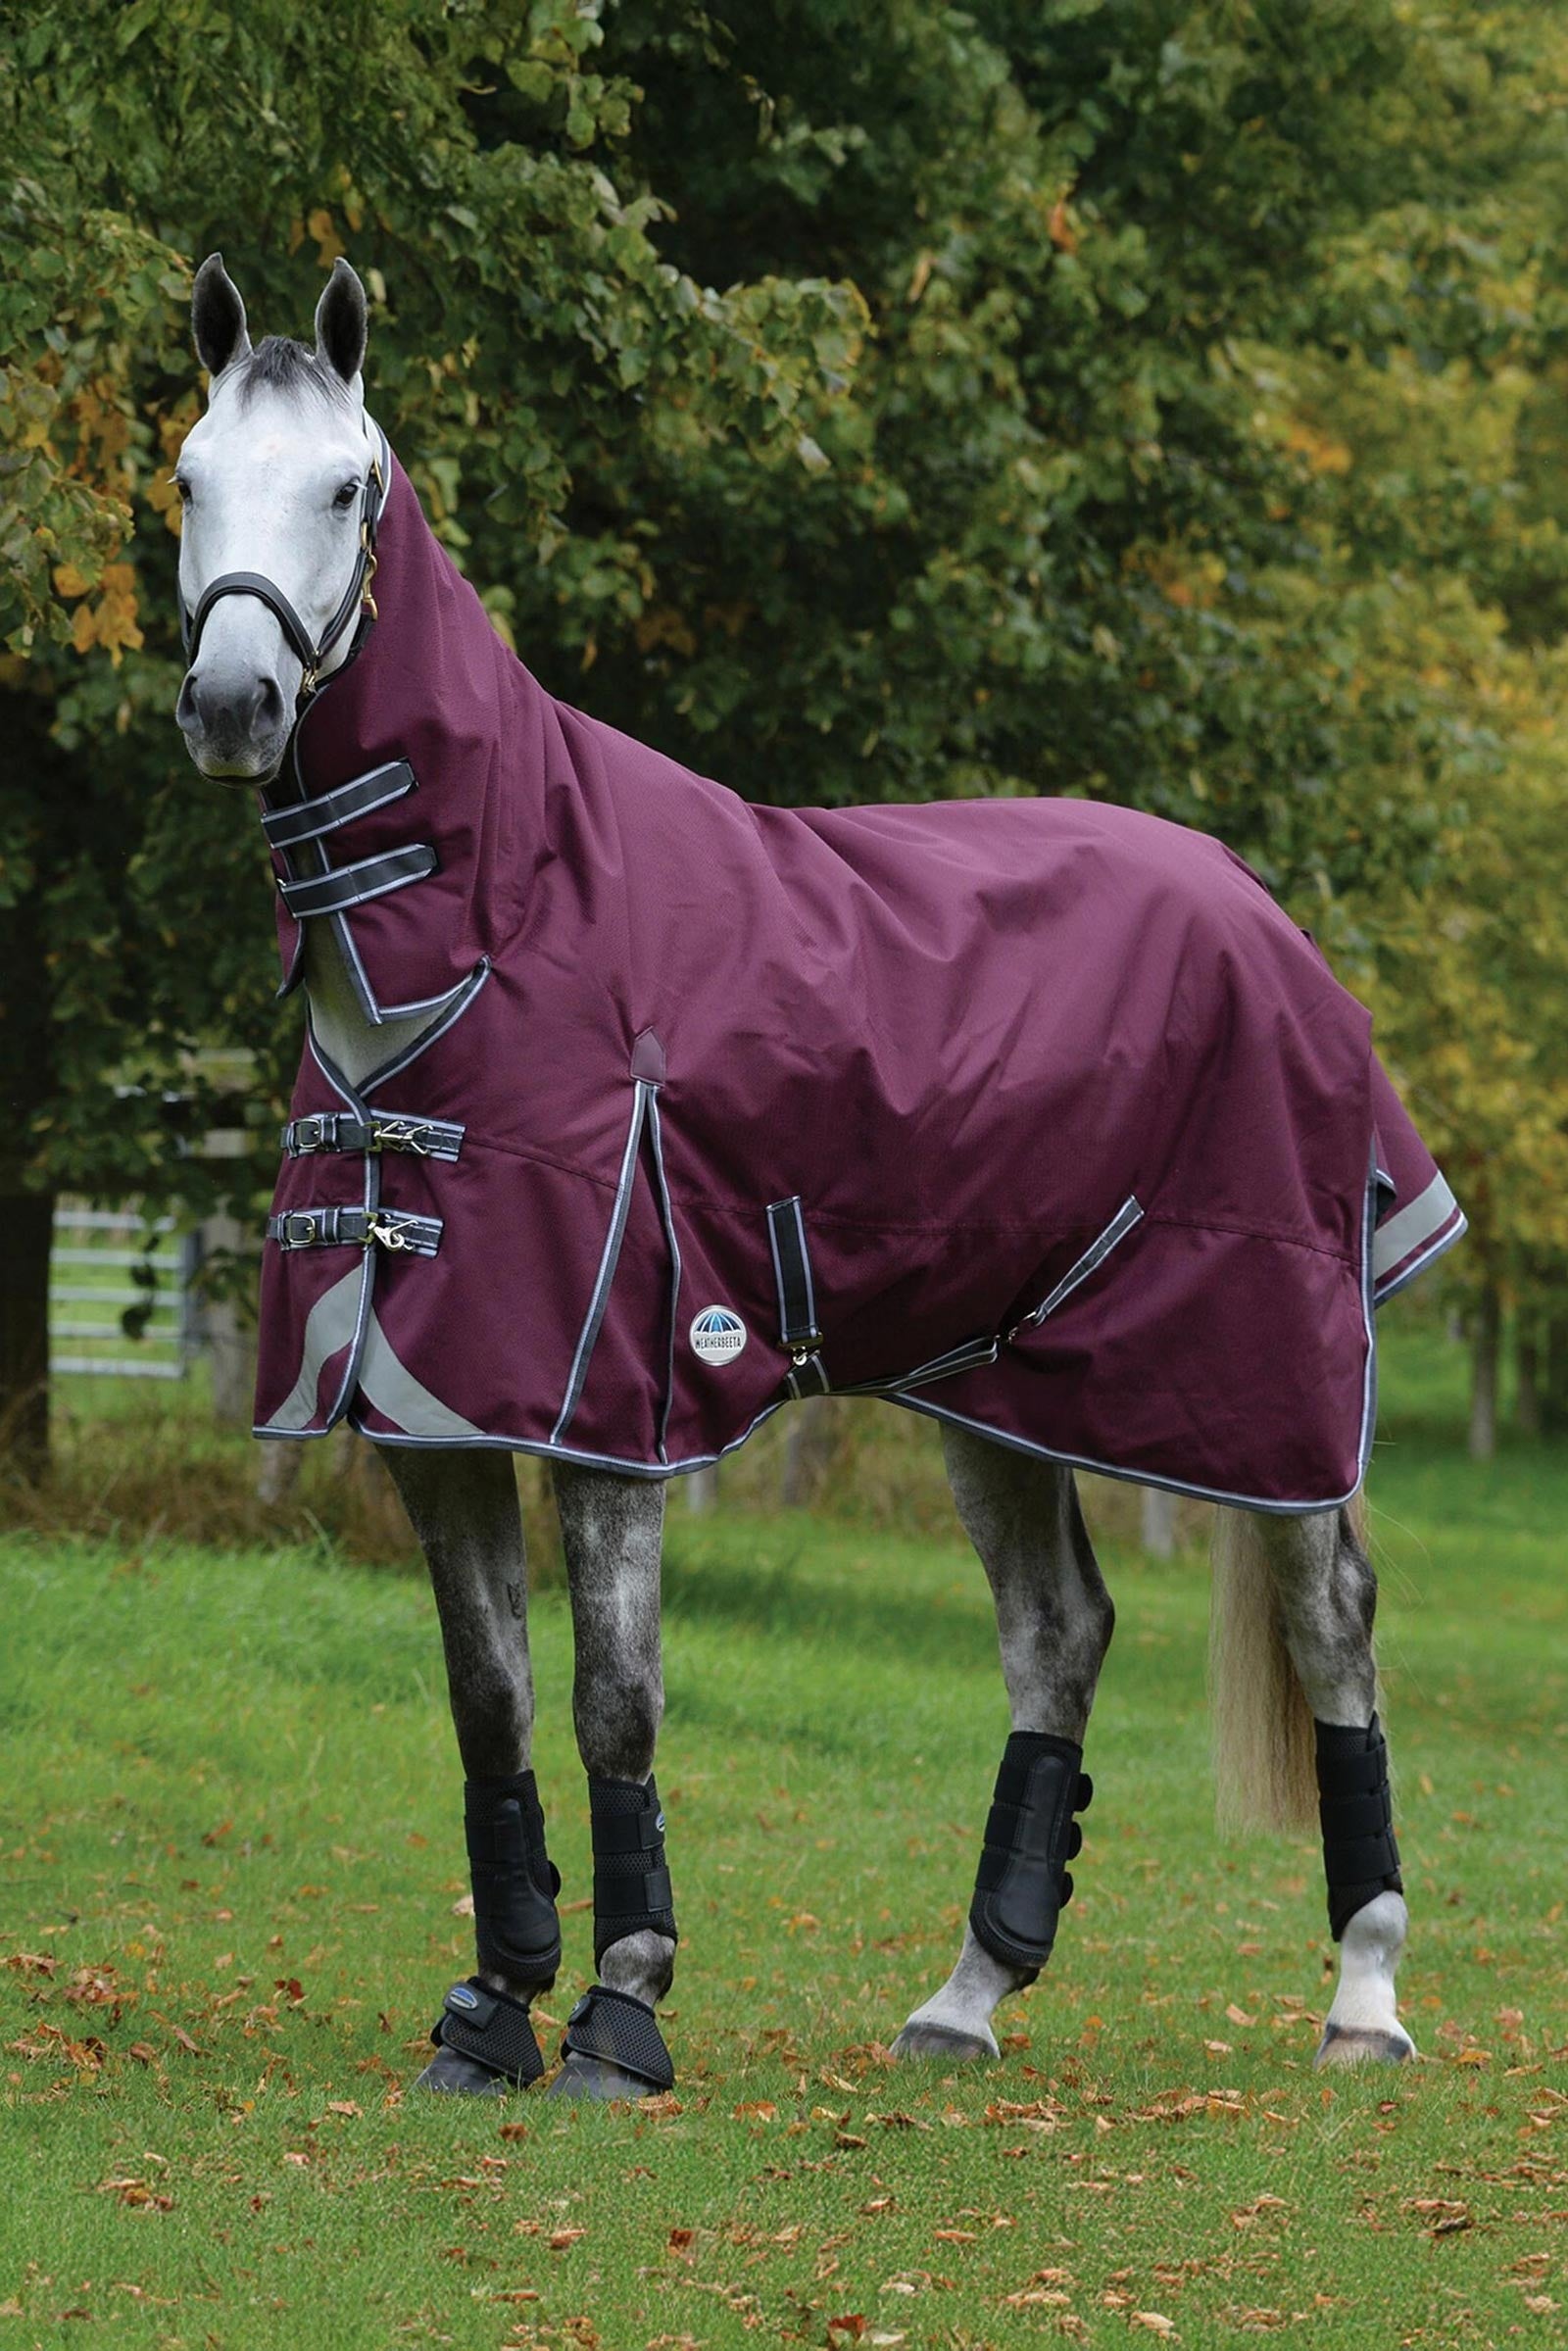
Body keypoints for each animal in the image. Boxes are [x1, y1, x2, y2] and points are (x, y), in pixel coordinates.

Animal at [168, 255, 1461, 2099]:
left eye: (346, 485)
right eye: (189, 475)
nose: (232, 705)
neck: (501, 928)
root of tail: (1253, 904)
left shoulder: (612, 1402)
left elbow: (613, 1698)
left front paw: (621, 2013)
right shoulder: (438, 1414)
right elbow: (489, 1701)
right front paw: (489, 2011)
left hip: (1261, 1378)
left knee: (1333, 1618)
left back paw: (1364, 1996)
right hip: (997, 1385)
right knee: (1058, 1632)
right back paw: (966, 1997)